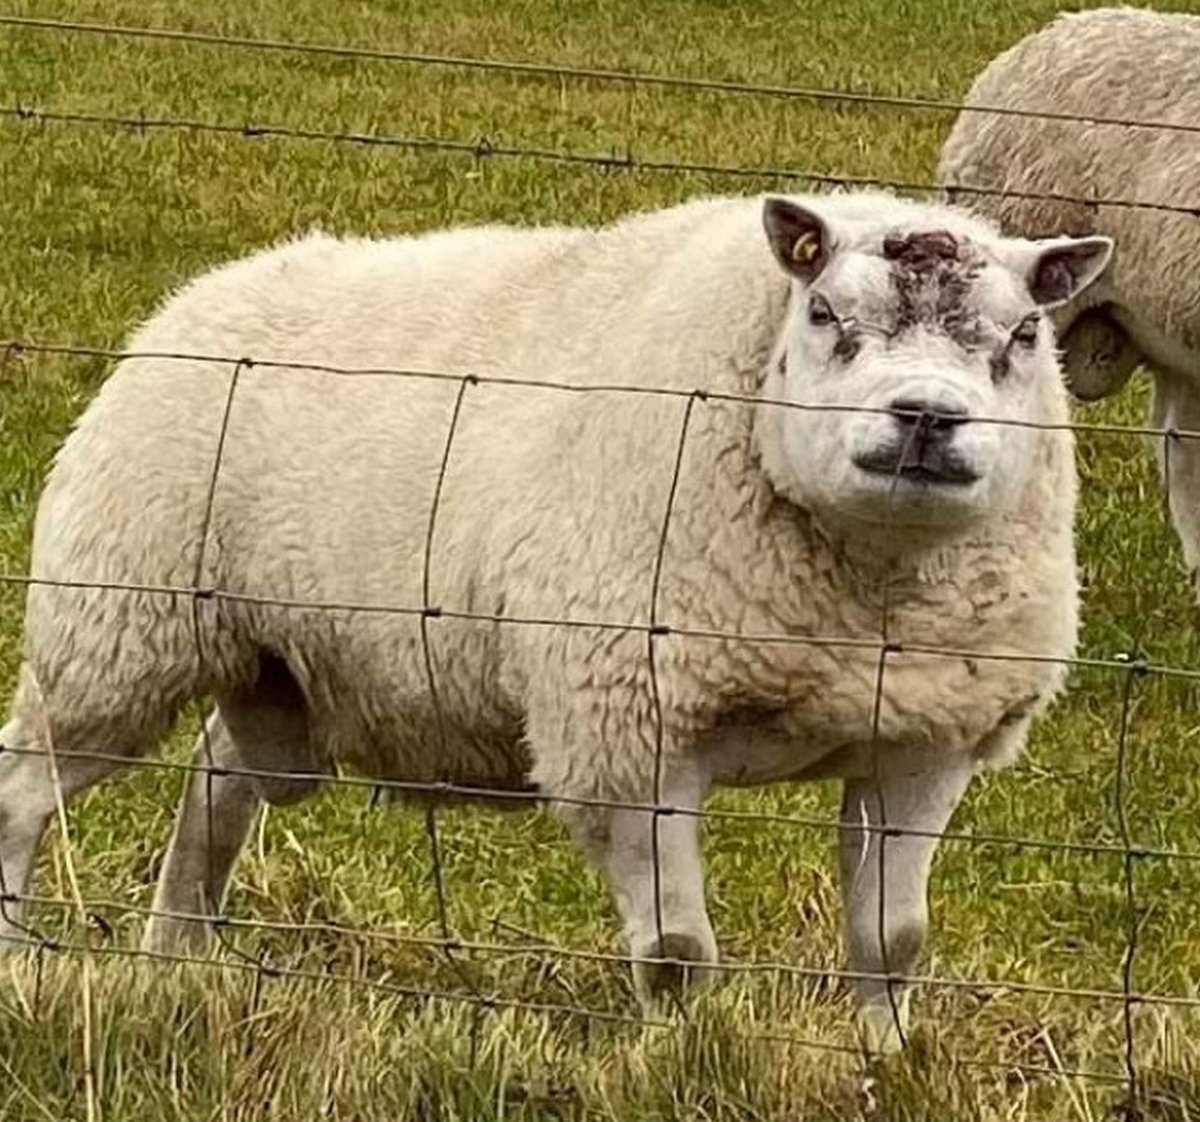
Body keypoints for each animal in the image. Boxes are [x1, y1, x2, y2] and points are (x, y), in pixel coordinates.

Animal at [0, 190, 1113, 1051]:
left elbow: (894, 943)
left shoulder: (928, 741)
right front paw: (680, 1060)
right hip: (115, 628)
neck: (868, 594)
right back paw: (21, 956)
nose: (926, 418)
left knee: (218, 779)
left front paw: (888, 1060)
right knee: (24, 785)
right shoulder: (627, 735)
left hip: (274, 660)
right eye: (828, 314)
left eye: (1024, 337)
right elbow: (674, 955)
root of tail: (209, 290)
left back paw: (178, 955)